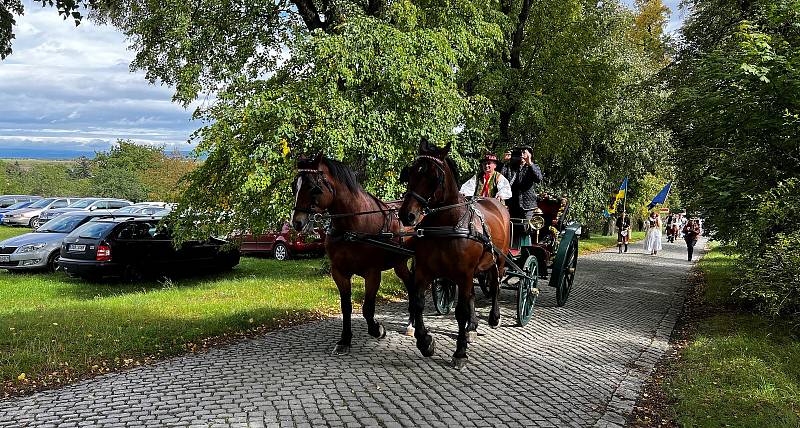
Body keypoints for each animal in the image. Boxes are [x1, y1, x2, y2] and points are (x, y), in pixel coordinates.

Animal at [290, 154, 412, 354]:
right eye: (295, 186)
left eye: (314, 188)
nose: (297, 222)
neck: (353, 226)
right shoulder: (339, 272)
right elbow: (346, 307)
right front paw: (345, 340)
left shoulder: (372, 273)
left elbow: (367, 308)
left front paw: (377, 329)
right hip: (400, 263)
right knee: (412, 286)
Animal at [396, 140, 510, 368]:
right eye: (410, 172)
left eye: (434, 176)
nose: (407, 215)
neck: (447, 224)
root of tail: (495, 202)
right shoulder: (424, 271)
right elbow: (418, 303)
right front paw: (425, 342)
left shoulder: (463, 274)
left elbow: (461, 311)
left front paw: (460, 352)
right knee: (474, 294)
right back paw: (472, 327)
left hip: (498, 262)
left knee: (495, 287)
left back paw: (494, 317)